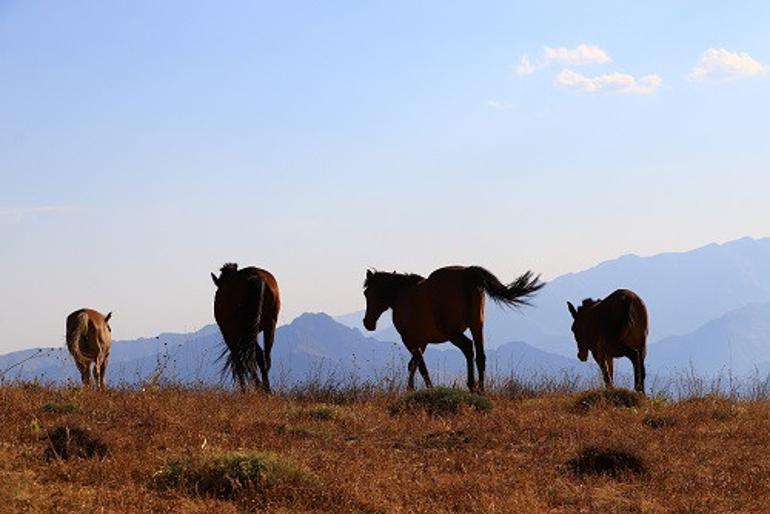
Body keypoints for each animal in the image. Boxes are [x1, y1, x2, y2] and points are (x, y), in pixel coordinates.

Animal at [210, 262, 280, 390]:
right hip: (268, 326)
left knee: (246, 359)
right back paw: (266, 388)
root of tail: (255, 277)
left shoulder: (230, 335)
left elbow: (239, 360)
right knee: (264, 357)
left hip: (242, 331)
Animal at [364, 266, 544, 390]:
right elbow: (414, 365)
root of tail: (466, 273)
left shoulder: (410, 339)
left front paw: (426, 389)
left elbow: (420, 366)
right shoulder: (422, 341)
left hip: (452, 331)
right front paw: (411, 389)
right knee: (480, 355)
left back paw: (471, 385)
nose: (367, 323)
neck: (400, 293)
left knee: (468, 348)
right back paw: (481, 390)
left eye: (366, 293)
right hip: (476, 325)